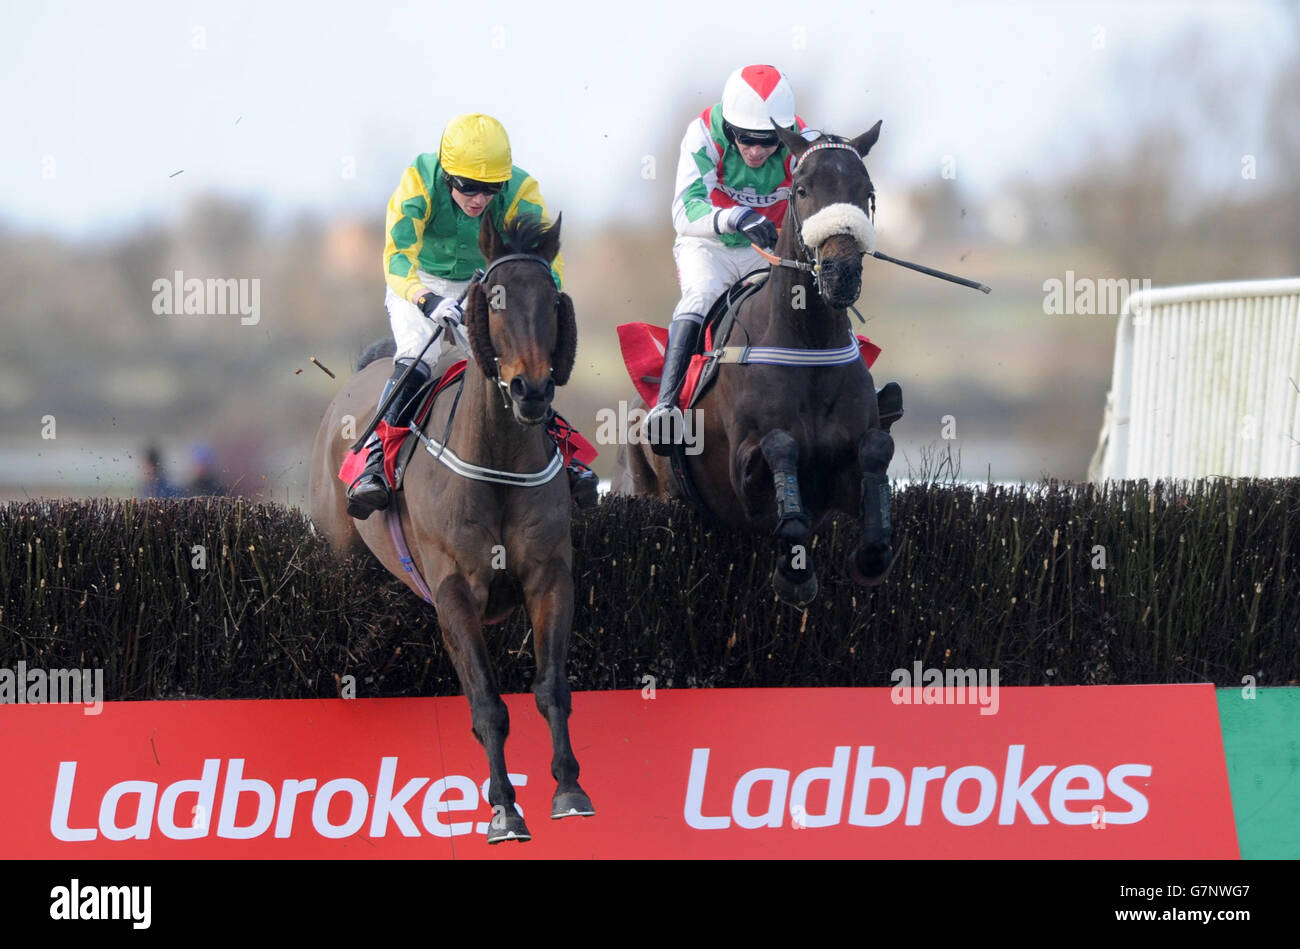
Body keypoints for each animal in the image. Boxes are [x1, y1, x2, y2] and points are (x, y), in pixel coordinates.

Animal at [312, 213, 595, 842]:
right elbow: (487, 702)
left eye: (552, 300)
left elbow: (552, 688)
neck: (498, 459)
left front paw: (568, 788)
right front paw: (505, 810)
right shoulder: (454, 590)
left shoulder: (549, 577)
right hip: (339, 555)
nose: (532, 390)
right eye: (494, 300)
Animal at [613, 120, 899, 605]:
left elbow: (877, 449)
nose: (841, 273)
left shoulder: (839, 482)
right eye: (801, 189)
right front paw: (795, 573)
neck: (808, 345)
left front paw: (871, 556)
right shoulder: (742, 478)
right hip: (648, 489)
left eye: (868, 191)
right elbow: (780, 448)